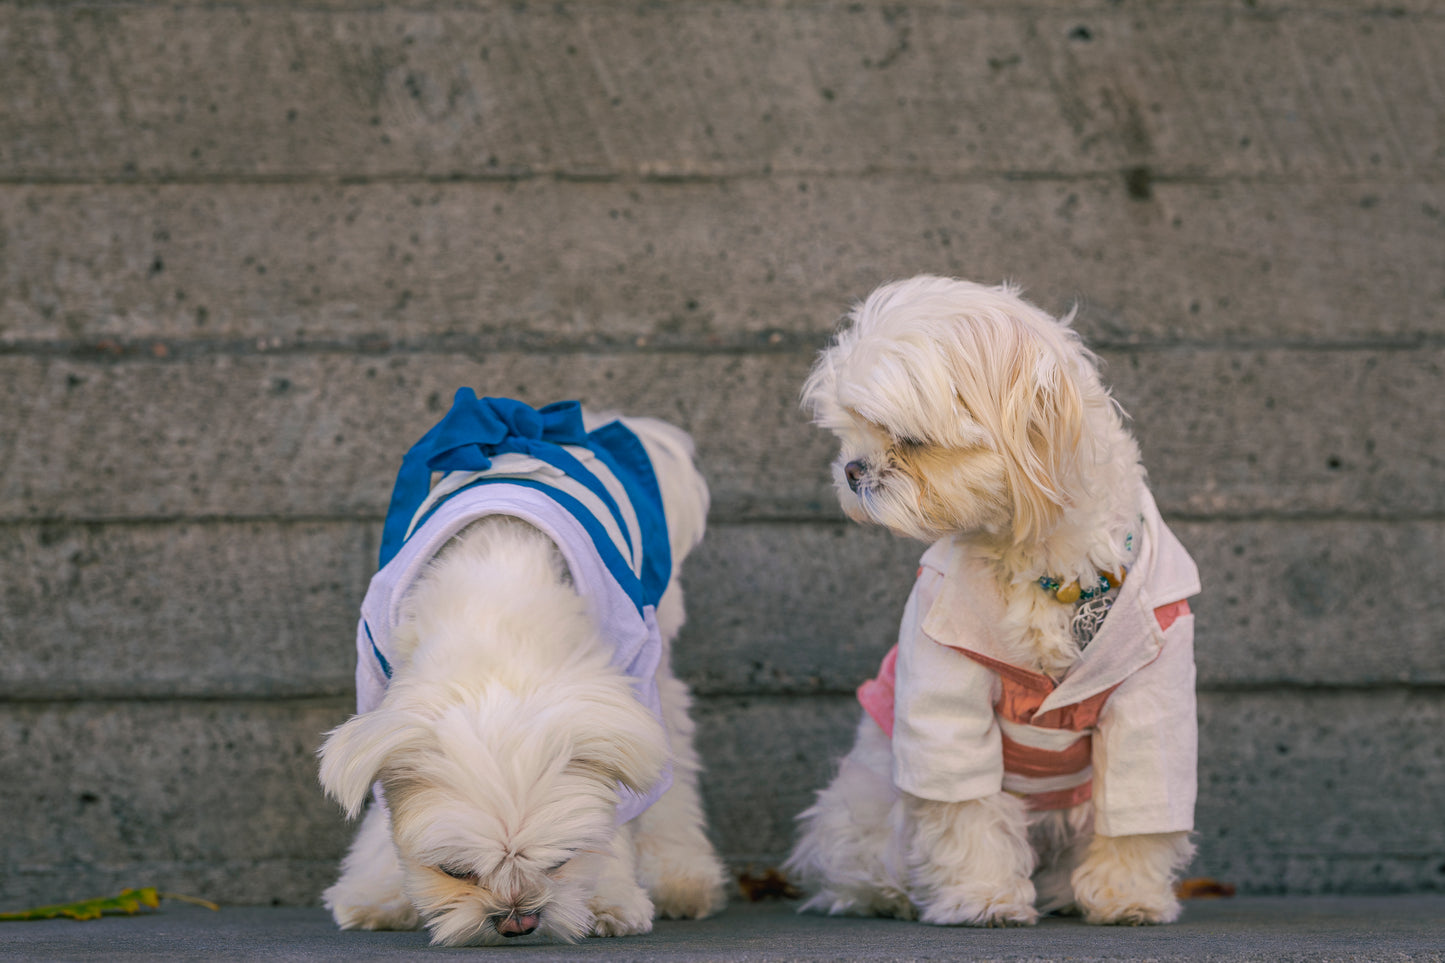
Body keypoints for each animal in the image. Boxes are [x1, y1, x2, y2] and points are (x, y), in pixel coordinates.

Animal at [320, 393, 728, 942]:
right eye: (455, 870)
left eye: (561, 862)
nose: (517, 920)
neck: (491, 617)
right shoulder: (380, 688)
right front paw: (379, 891)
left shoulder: (624, 683)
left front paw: (608, 897)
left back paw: (681, 877)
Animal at [786, 276, 1202, 925]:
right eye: (851, 434)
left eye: (910, 441)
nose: (851, 470)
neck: (1047, 570)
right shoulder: (946, 686)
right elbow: (966, 811)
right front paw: (983, 897)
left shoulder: (1153, 691)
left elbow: (1141, 806)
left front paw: (1128, 897)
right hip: (863, 802)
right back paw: (891, 893)